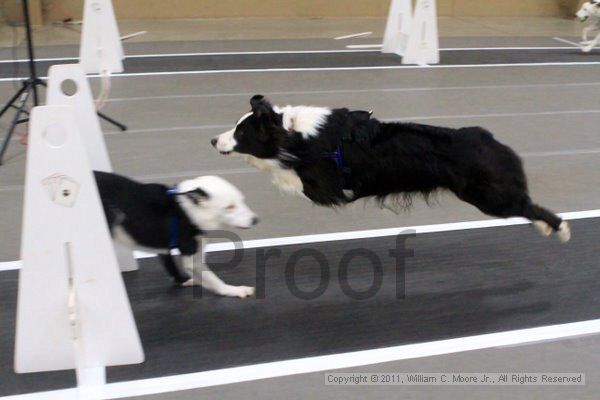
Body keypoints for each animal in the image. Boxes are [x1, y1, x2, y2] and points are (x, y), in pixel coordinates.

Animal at [95, 170, 258, 298]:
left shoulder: (167, 247)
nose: (255, 220)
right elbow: (212, 278)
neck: (188, 209)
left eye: (242, 200)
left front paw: (187, 280)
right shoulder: (190, 254)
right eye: (229, 207)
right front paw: (233, 290)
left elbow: (173, 266)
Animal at [212, 95, 572, 242]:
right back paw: (545, 227)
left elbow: (285, 172)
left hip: (487, 196)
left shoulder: (325, 187)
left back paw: (560, 228)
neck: (291, 132)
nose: (213, 140)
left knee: (527, 205)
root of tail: (490, 139)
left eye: (241, 133)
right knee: (525, 205)